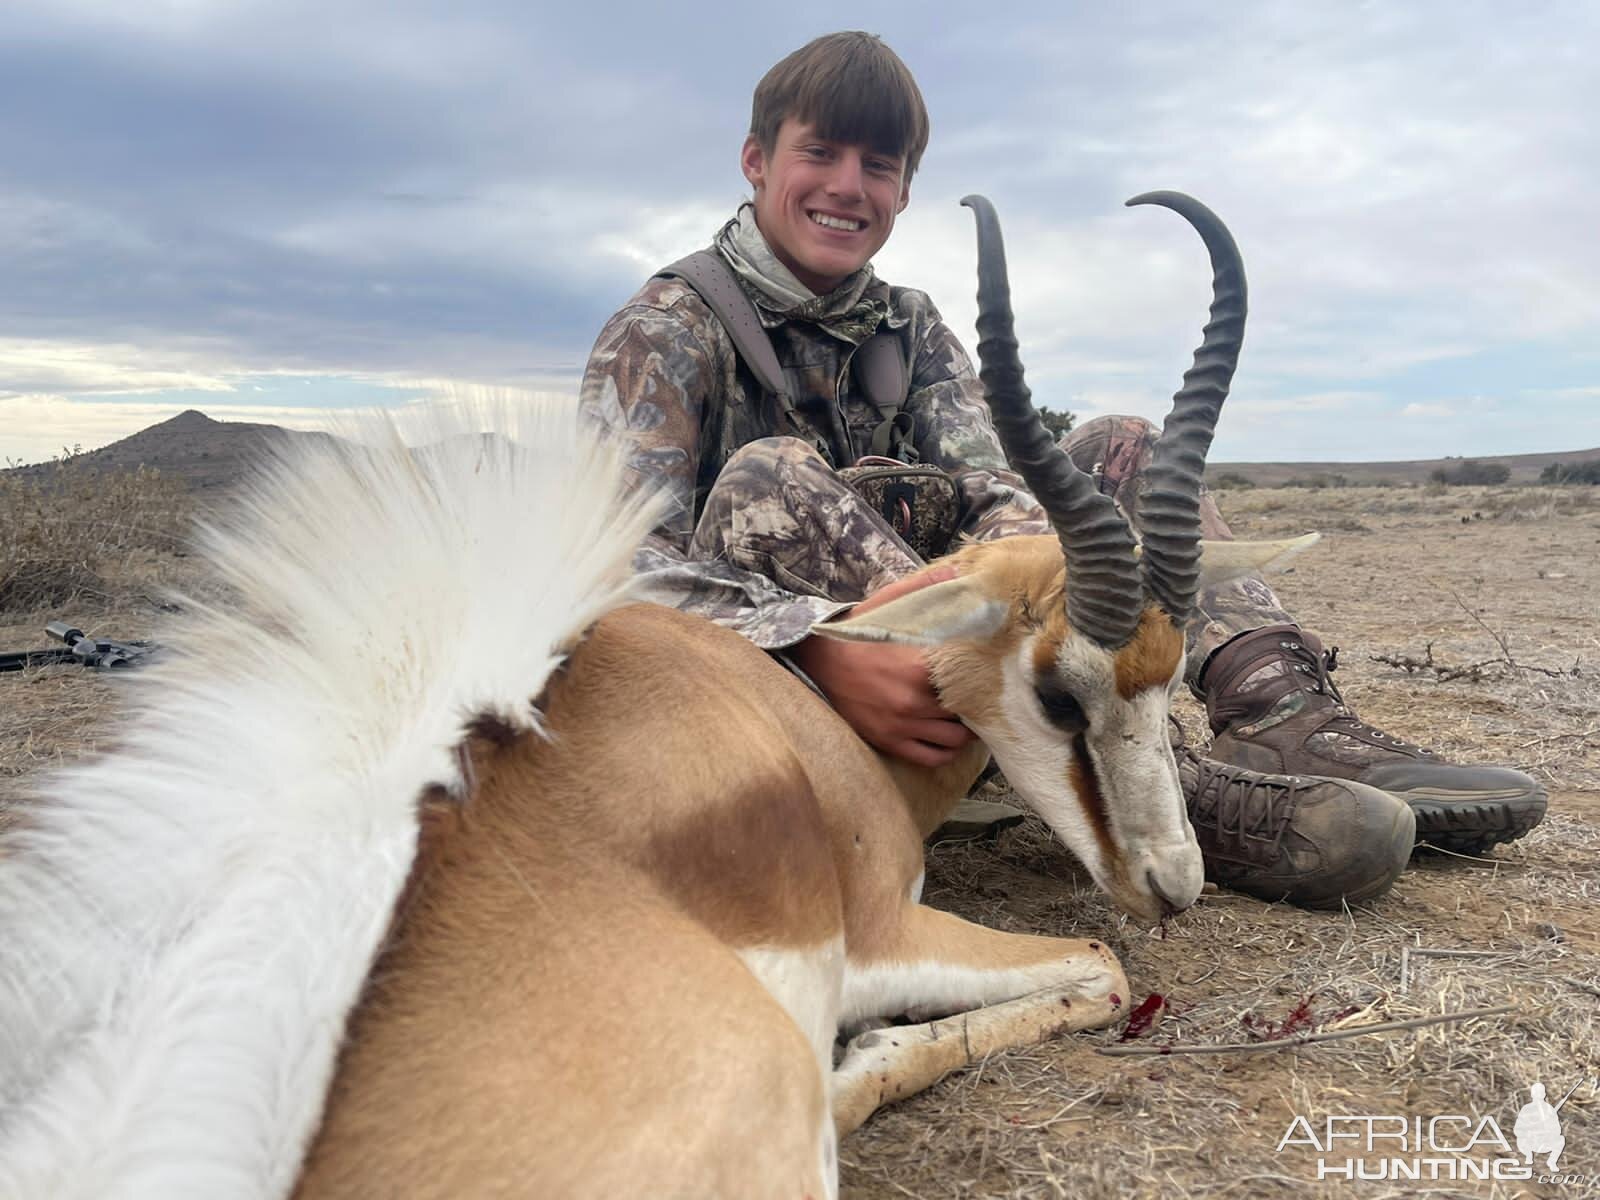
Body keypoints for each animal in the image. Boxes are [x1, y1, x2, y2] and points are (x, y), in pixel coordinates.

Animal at [0, 192, 1299, 1196]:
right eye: (1061, 698)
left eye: (1167, 679)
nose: (1174, 884)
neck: (808, 718)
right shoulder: (880, 930)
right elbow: (1098, 967)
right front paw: (859, 1061)